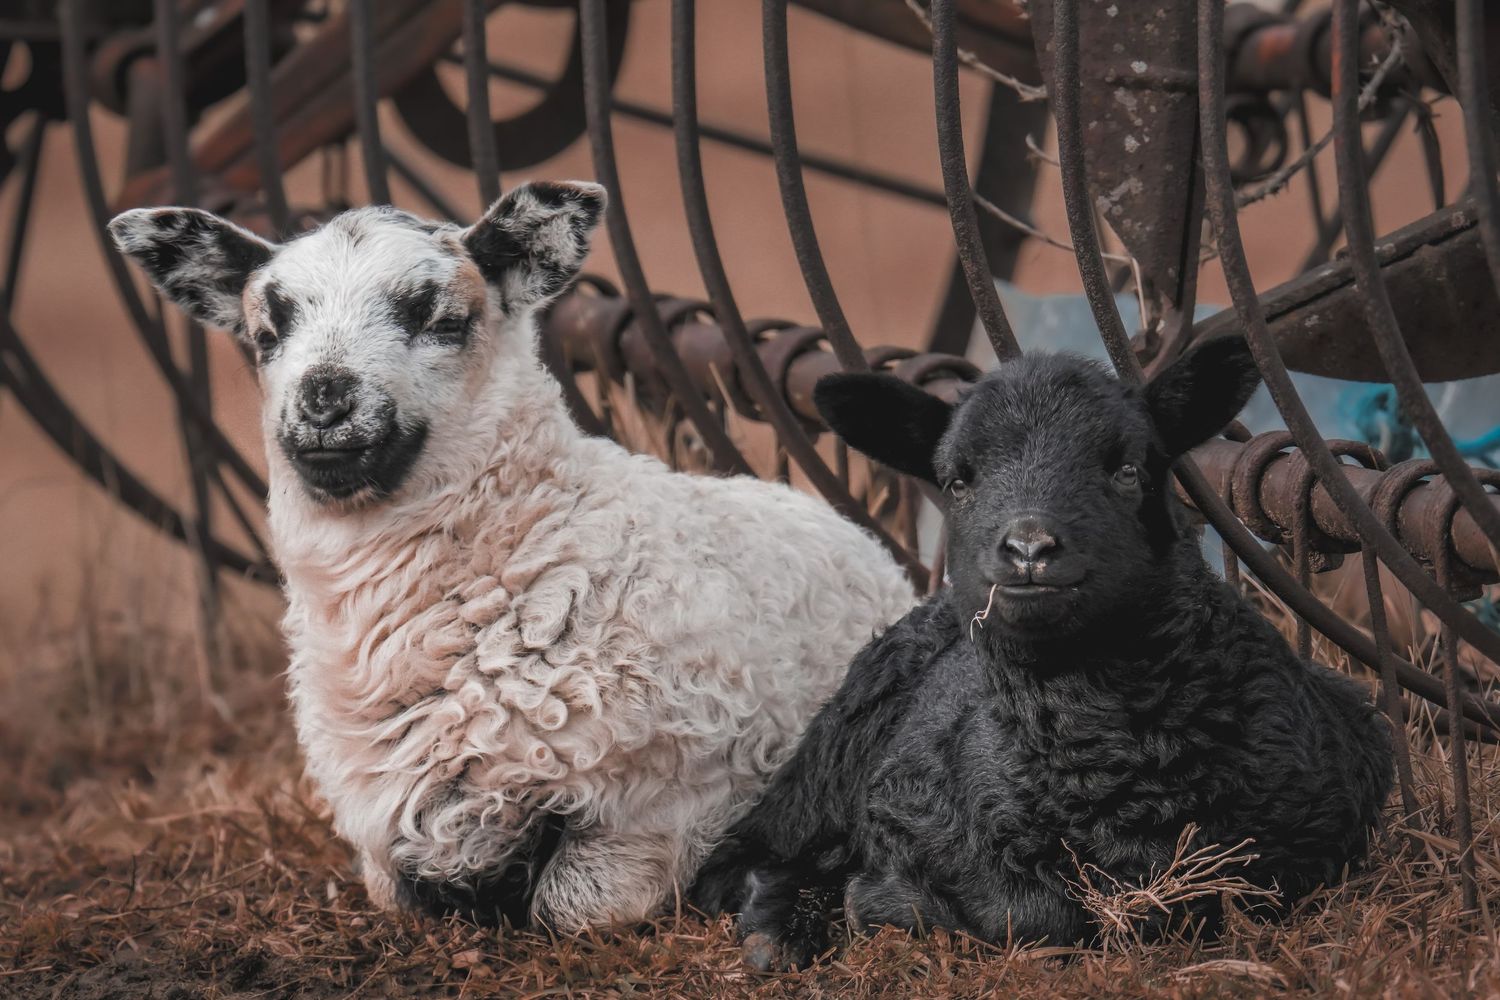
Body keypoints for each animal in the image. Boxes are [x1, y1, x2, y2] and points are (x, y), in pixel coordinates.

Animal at [108, 181, 915, 932]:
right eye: (266, 332)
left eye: (443, 319)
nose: (325, 401)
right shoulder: (384, 840)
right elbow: (404, 893)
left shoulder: (670, 805)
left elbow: (570, 906)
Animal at [689, 338, 1395, 970]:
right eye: (956, 481)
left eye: (1128, 468)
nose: (1029, 548)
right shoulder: (905, 801)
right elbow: (1030, 913)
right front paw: (882, 900)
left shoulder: (1310, 838)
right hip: (838, 748)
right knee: (746, 853)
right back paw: (776, 932)